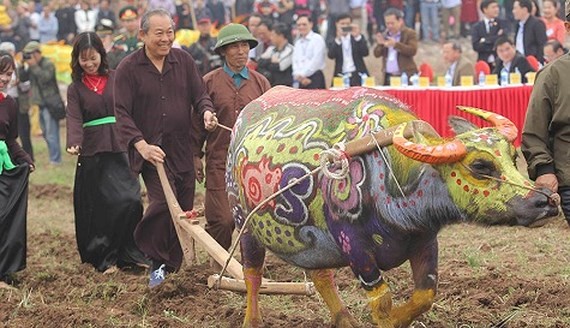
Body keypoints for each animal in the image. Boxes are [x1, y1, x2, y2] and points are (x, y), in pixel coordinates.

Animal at [224, 86, 556, 326]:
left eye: (514, 157)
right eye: (480, 166)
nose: (544, 201)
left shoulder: (424, 240)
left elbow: (425, 295)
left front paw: (401, 318)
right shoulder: (355, 248)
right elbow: (382, 304)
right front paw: (390, 318)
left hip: (314, 242)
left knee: (321, 276)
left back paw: (346, 320)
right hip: (245, 227)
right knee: (252, 275)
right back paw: (252, 321)